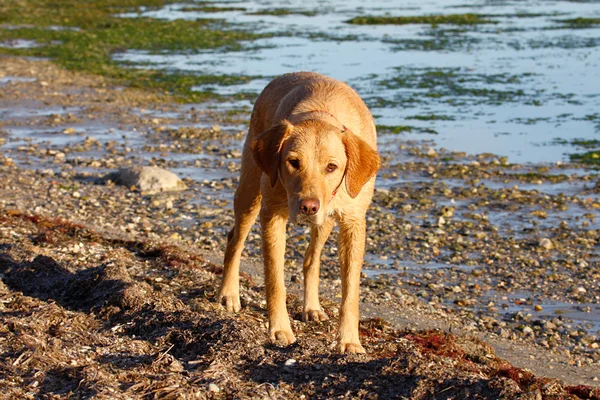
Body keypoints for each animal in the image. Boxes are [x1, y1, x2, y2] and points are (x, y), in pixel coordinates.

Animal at [218, 72, 382, 354]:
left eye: (331, 167)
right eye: (293, 162)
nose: (308, 206)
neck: (321, 113)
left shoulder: (353, 222)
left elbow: (350, 290)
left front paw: (349, 339)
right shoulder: (272, 215)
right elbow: (275, 280)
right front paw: (280, 329)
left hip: (325, 221)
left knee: (311, 259)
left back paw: (312, 306)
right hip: (250, 192)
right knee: (234, 240)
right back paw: (229, 293)